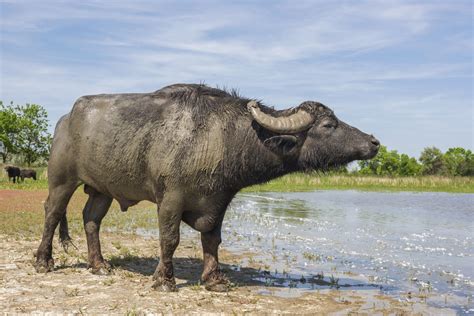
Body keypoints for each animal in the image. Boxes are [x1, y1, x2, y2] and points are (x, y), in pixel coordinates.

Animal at [35, 83, 380, 292]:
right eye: (329, 125)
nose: (374, 142)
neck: (222, 137)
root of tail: (64, 119)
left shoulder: (218, 200)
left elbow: (212, 239)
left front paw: (215, 279)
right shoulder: (170, 199)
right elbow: (170, 239)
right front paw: (165, 280)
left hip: (102, 189)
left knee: (91, 219)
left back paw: (99, 265)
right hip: (62, 179)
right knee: (52, 213)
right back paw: (43, 261)